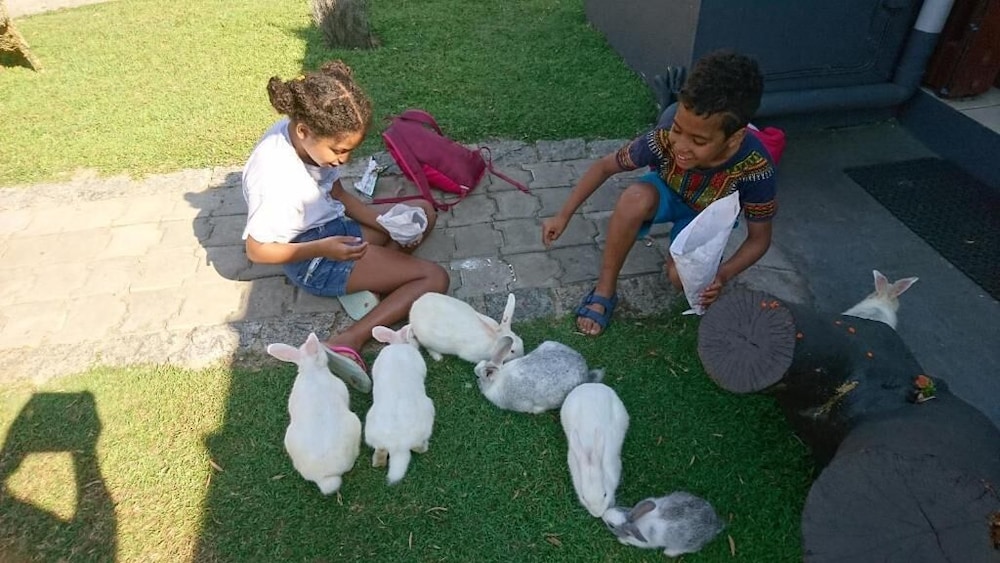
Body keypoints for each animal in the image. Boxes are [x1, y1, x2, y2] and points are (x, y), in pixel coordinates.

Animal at [364, 325, 435, 484]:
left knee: (380, 451)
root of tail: (398, 446)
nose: (417, 341)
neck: (397, 344)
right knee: (417, 448)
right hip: (428, 412)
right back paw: (425, 446)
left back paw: (377, 462)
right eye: (412, 337)